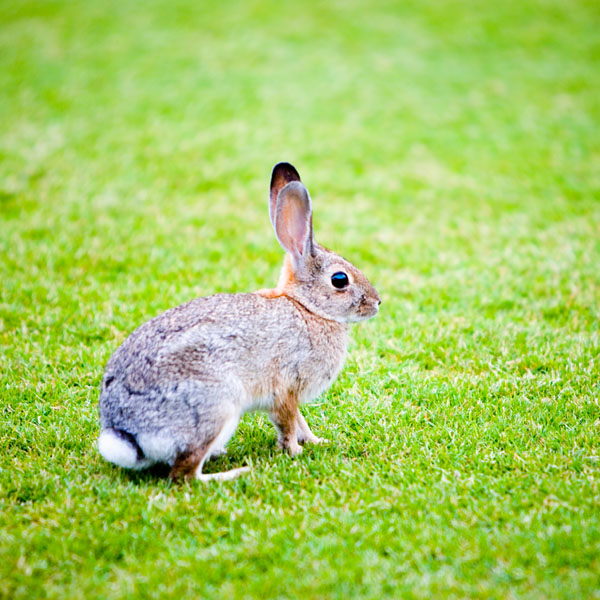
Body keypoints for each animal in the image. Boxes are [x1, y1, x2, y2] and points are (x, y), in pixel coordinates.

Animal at [98, 162, 380, 480]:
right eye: (340, 280)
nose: (377, 303)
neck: (307, 309)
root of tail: (126, 433)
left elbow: (299, 421)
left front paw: (317, 441)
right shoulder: (285, 388)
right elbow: (287, 423)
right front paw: (295, 451)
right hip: (216, 406)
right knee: (184, 475)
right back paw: (234, 472)